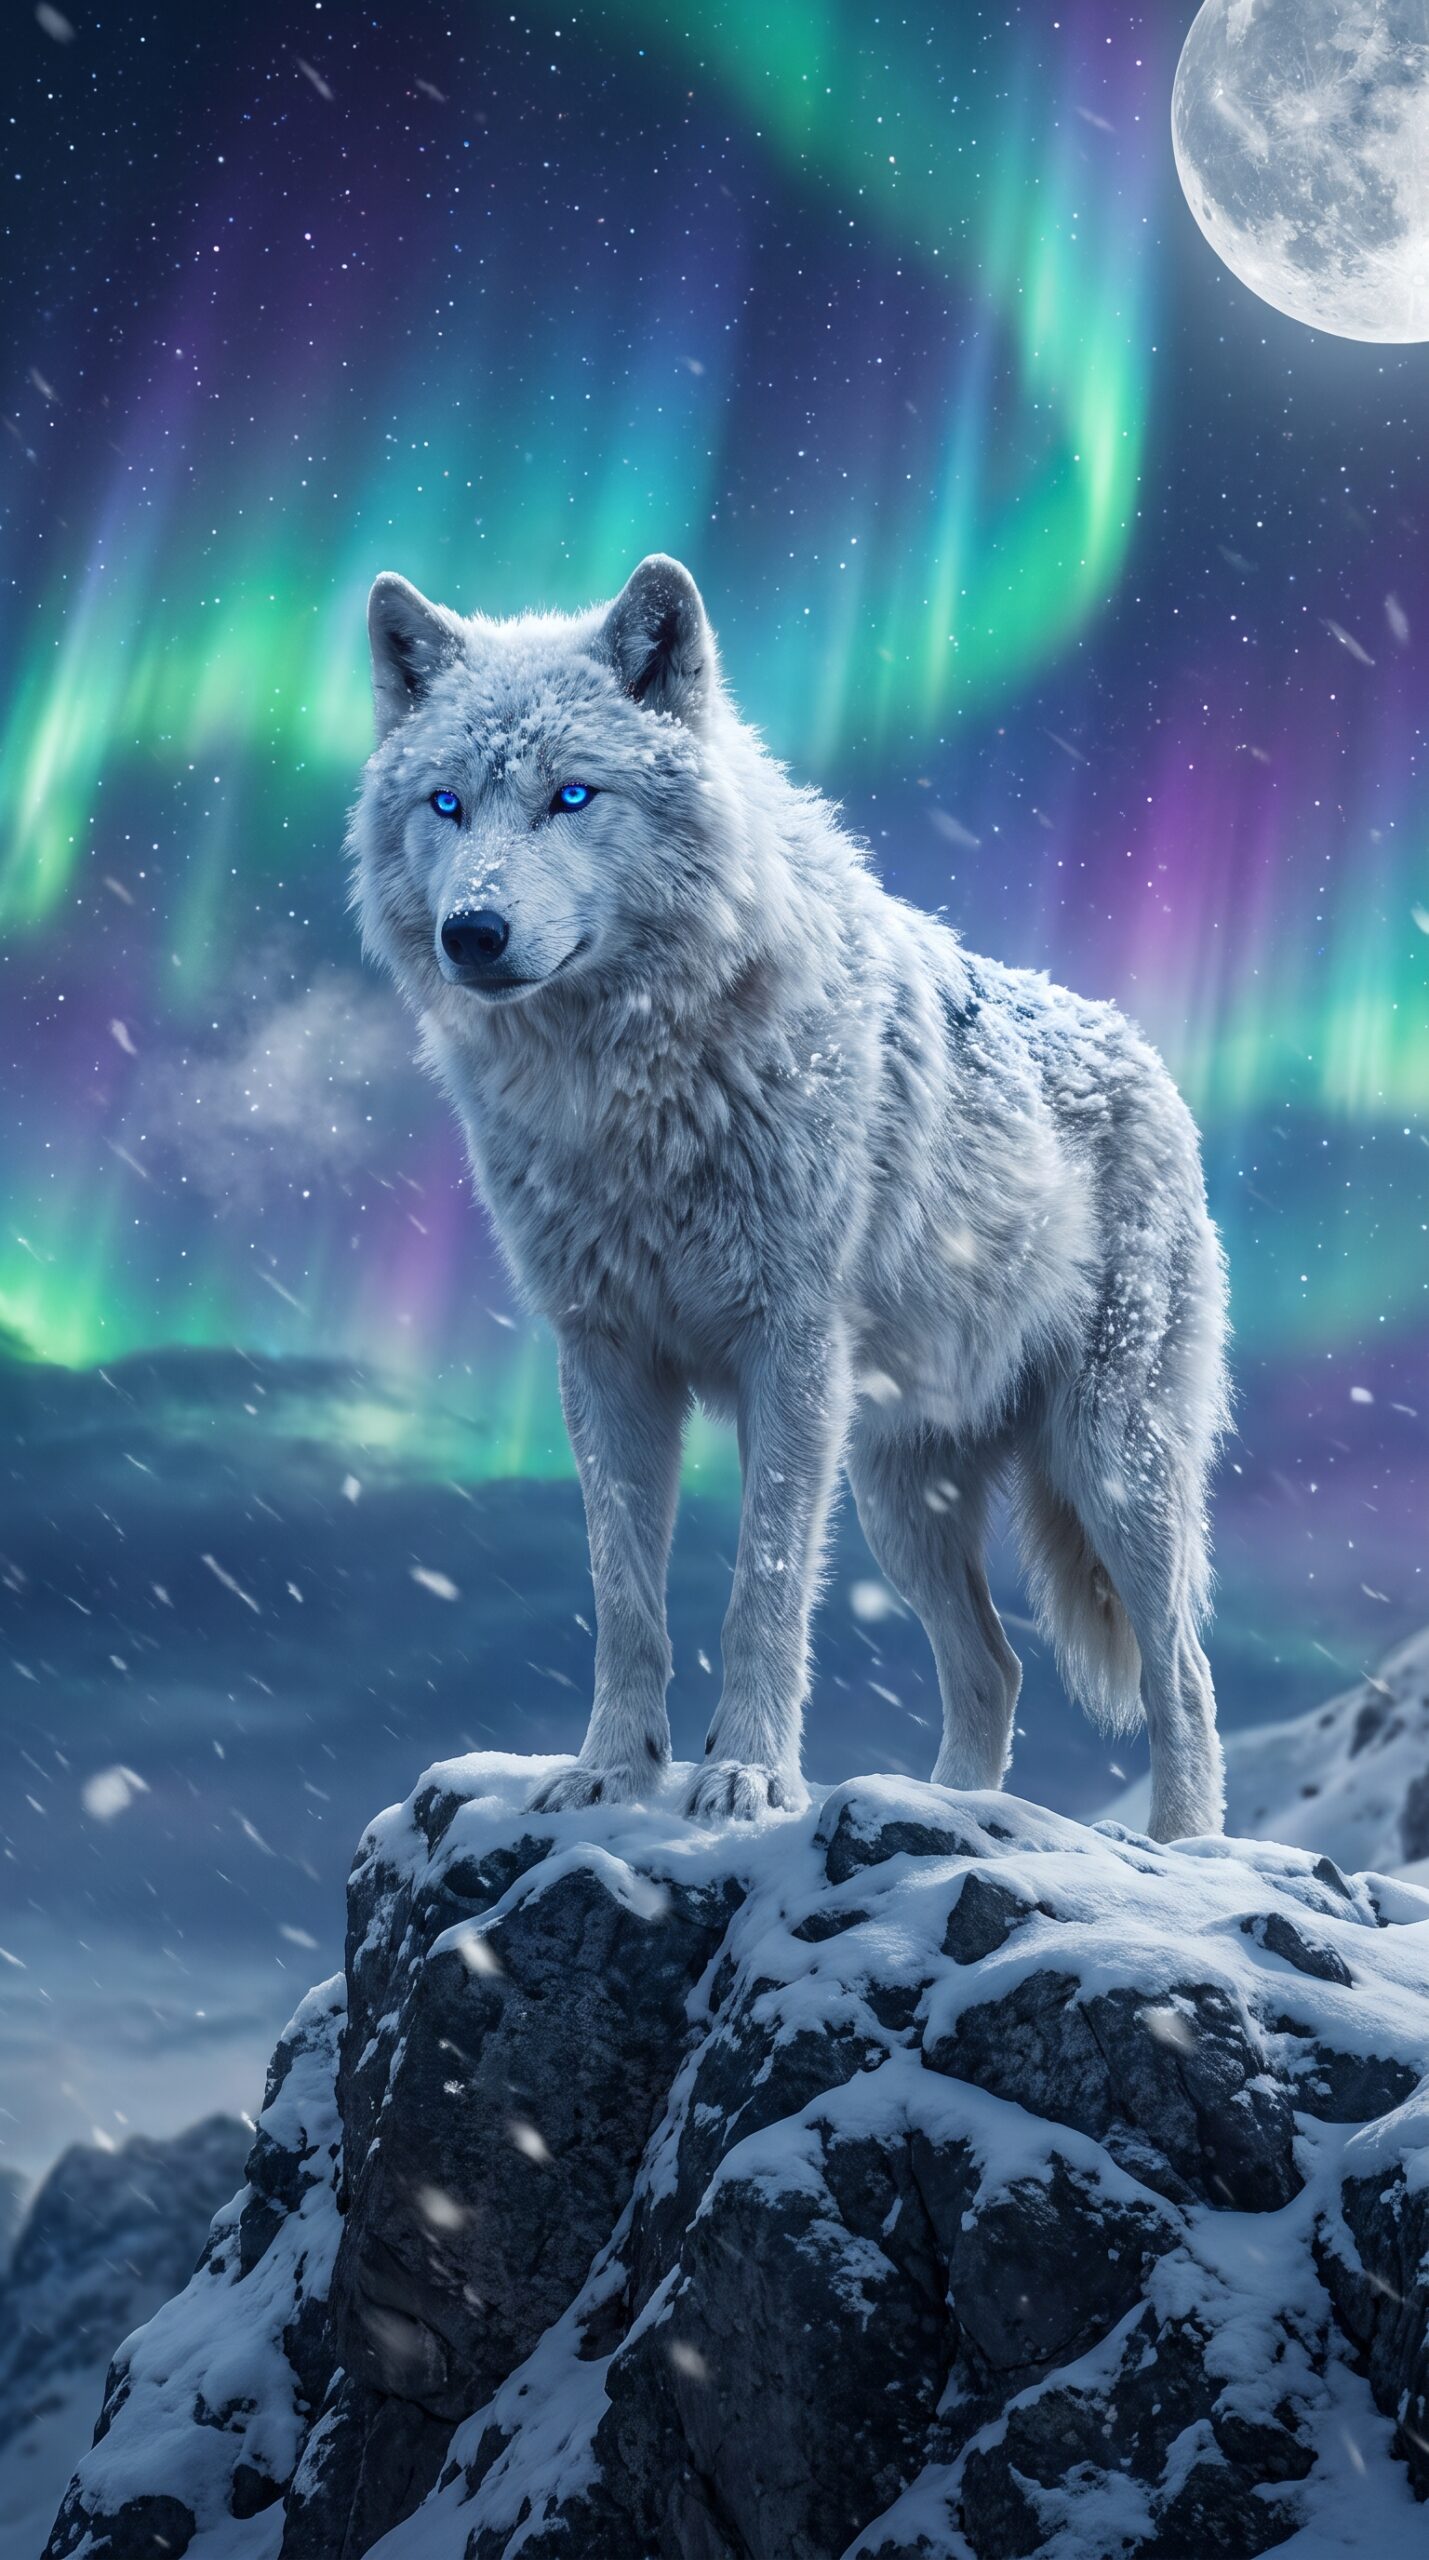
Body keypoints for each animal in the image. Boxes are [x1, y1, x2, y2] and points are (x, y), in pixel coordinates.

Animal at [350, 555, 1230, 1840]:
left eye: (572, 795)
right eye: (448, 804)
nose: (474, 931)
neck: (631, 1092)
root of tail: (1148, 1060)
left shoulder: (790, 1349)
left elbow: (761, 1586)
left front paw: (750, 1780)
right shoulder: (603, 1357)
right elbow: (625, 1597)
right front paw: (609, 1773)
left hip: (1109, 1465)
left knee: (1184, 1676)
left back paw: (1177, 1852)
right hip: (900, 1496)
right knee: (997, 1667)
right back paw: (946, 1810)